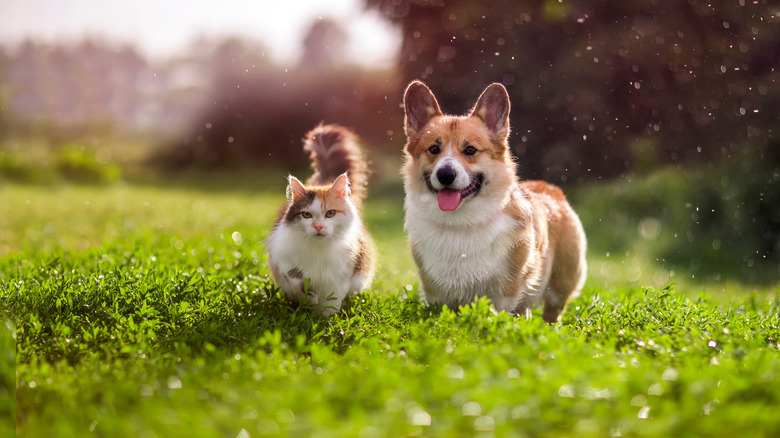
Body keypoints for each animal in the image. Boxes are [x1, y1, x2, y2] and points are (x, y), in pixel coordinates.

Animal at [266, 123, 374, 314]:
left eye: (330, 213)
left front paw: (325, 318)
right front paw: (310, 302)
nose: (318, 227)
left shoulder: (340, 275)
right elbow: (298, 278)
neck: (318, 250)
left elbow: (332, 303)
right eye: (306, 215)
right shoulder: (282, 259)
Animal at [402, 81, 584, 322]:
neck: (460, 223)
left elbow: (499, 312)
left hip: (560, 284)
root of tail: (550, 188)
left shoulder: (507, 288)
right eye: (434, 149)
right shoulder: (434, 291)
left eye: (470, 150)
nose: (445, 174)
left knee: (552, 311)